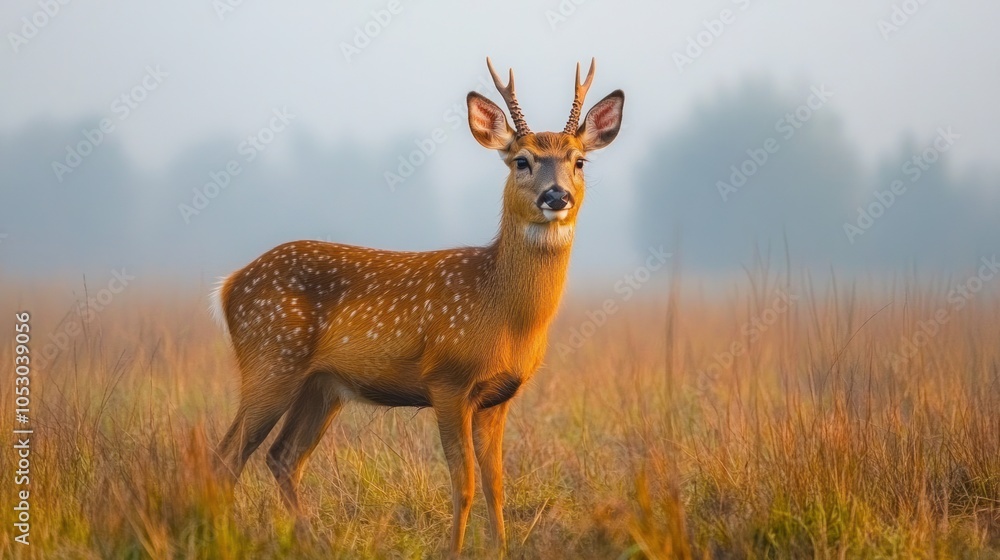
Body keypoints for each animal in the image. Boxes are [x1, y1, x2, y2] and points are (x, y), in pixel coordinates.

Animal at [212, 57, 624, 556]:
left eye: (579, 161)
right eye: (521, 160)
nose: (556, 196)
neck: (503, 311)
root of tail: (229, 286)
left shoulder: (500, 396)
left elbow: (496, 485)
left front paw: (499, 549)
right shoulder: (447, 379)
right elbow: (464, 484)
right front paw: (453, 550)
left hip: (322, 385)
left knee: (282, 457)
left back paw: (310, 542)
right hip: (270, 359)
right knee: (227, 457)